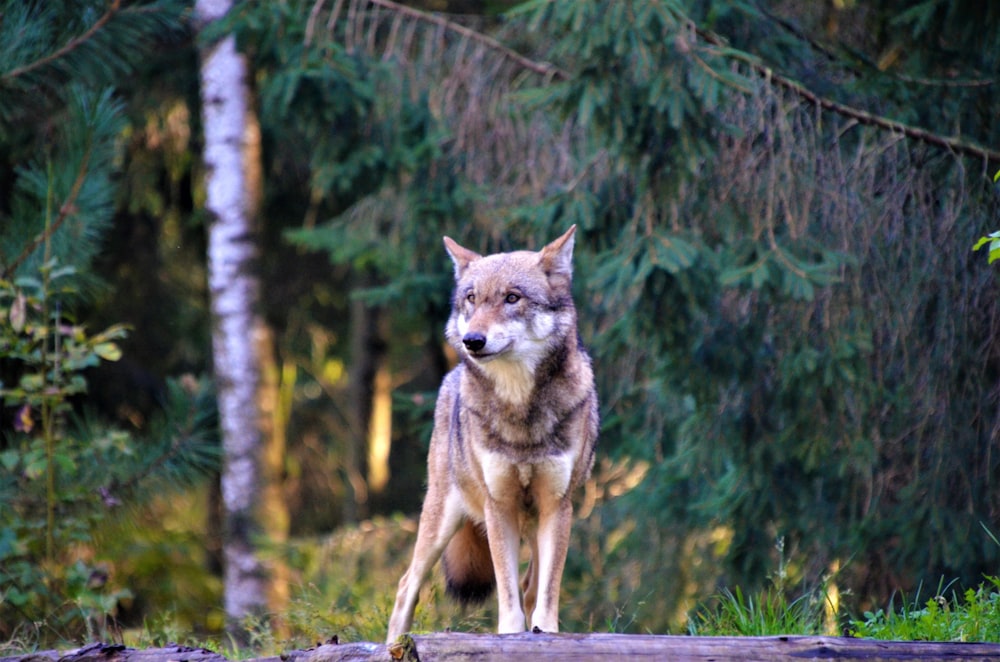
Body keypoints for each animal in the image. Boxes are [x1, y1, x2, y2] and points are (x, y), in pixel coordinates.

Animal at [386, 224, 596, 644]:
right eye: (472, 299)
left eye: (512, 298)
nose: (473, 341)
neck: (520, 411)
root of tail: (450, 377)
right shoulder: (498, 506)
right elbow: (507, 594)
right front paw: (512, 636)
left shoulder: (557, 506)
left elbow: (546, 592)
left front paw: (545, 633)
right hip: (441, 519)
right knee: (405, 586)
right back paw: (392, 644)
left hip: (531, 523)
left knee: (531, 585)